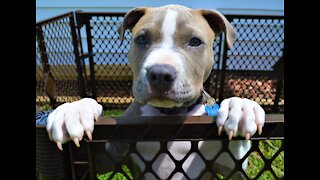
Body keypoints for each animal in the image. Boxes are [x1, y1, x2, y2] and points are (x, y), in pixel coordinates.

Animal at [45, 4, 264, 180]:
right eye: (142, 39)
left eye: (195, 41)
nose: (160, 74)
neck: (169, 114)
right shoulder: (108, 156)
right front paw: (74, 111)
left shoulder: (230, 166)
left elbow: (237, 157)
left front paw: (241, 108)